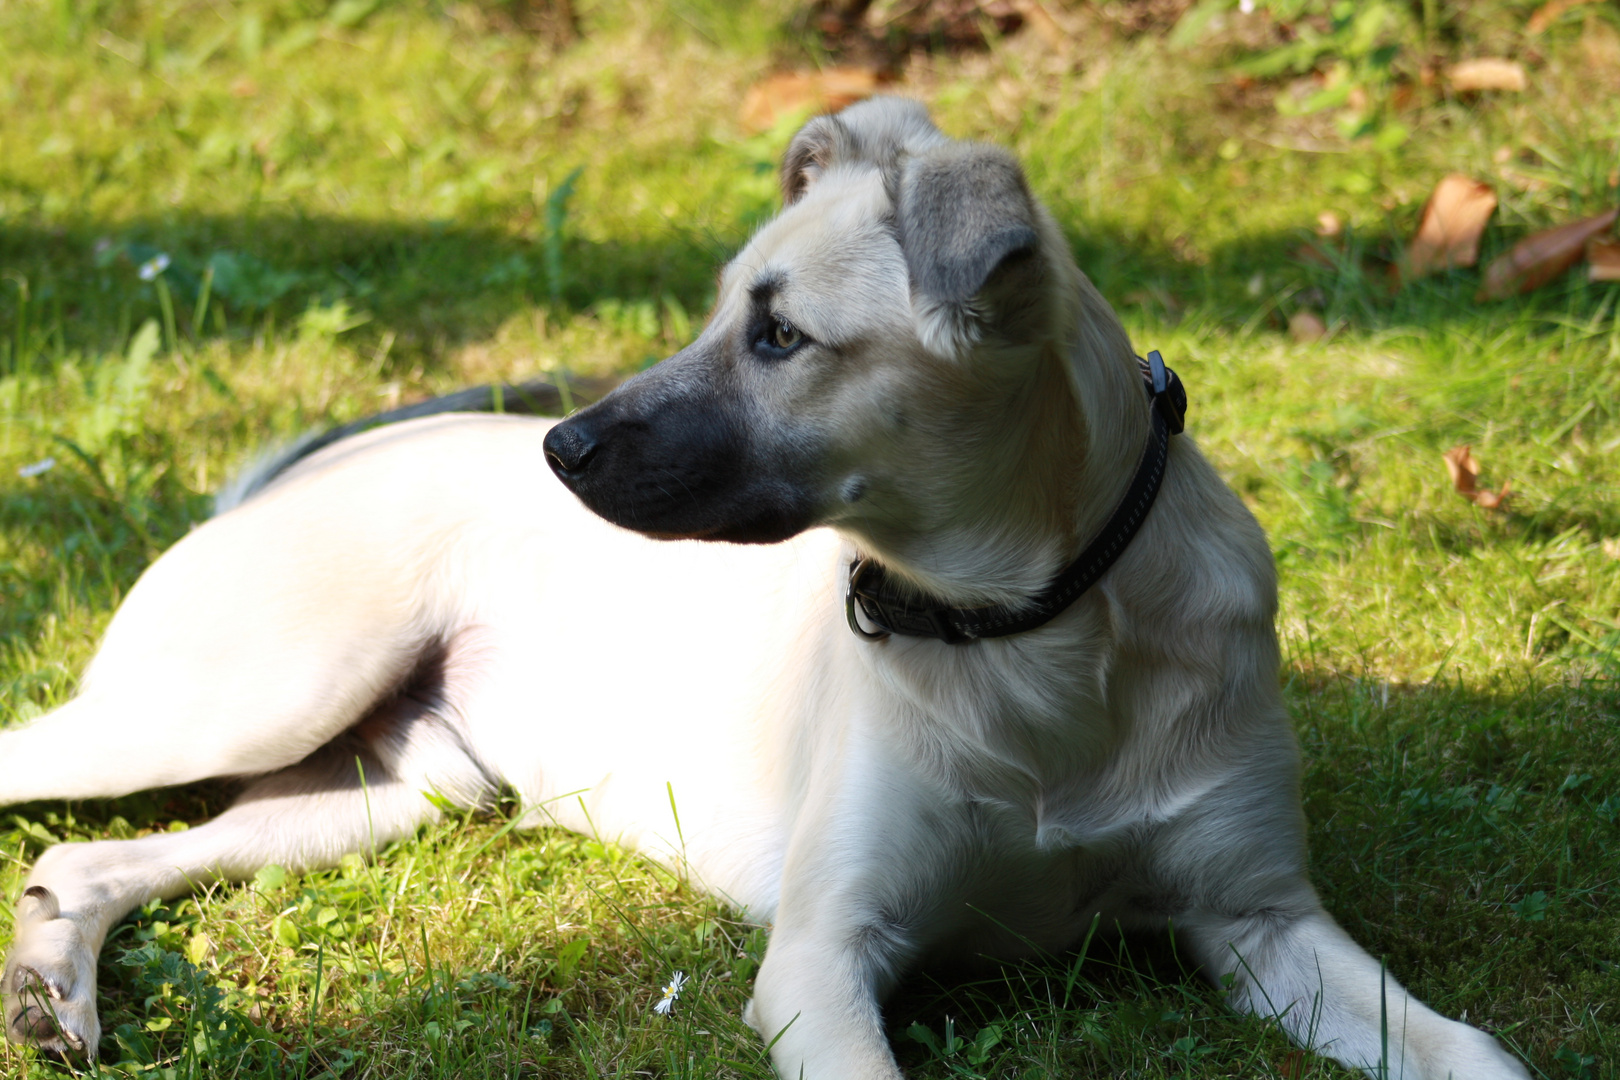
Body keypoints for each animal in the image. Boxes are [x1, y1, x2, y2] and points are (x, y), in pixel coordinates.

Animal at [3, 97, 1529, 1075]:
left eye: (781, 336)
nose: (559, 446)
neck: (1027, 632)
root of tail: (287, 478)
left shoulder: (1264, 921)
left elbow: (1476, 1052)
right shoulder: (822, 957)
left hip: (394, 788)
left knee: (91, 859)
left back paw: (49, 993)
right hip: (244, 698)